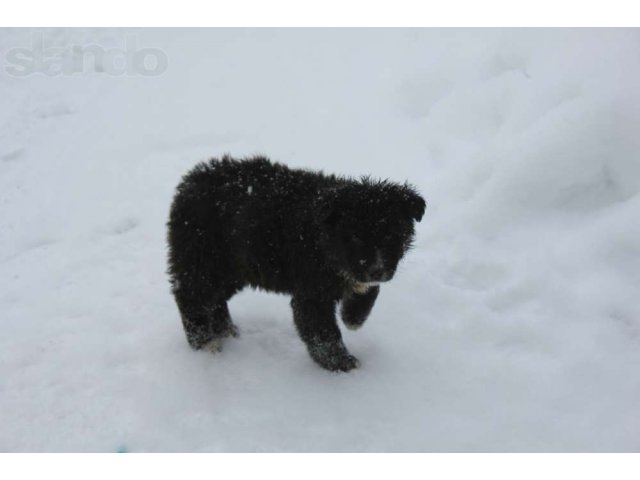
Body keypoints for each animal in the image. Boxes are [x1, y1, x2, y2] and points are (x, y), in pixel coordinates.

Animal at [168, 156, 424, 374]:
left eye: (391, 235)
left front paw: (353, 318)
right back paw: (205, 342)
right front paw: (340, 364)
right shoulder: (312, 294)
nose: (376, 270)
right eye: (355, 237)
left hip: (235, 268)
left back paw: (226, 330)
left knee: (214, 299)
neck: (324, 238)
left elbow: (368, 292)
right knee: (190, 296)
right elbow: (323, 334)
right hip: (204, 259)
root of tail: (190, 182)